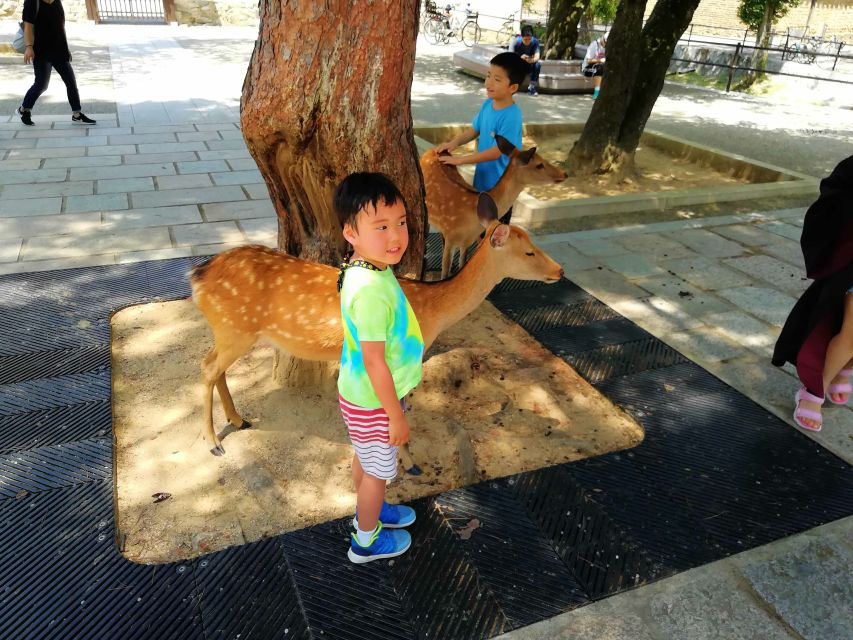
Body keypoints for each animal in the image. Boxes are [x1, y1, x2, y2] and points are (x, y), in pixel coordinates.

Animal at [190, 192, 564, 468]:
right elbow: (397, 407)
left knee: (215, 368)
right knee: (207, 367)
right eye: (529, 251)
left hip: (230, 330)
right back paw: (213, 443)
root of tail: (197, 277)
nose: (559, 271)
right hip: (235, 328)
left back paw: (239, 420)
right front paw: (409, 462)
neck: (433, 311)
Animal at [422, 135, 568, 278]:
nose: (564, 174)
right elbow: (444, 274)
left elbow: (462, 265)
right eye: (539, 165)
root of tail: (431, 150)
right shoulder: (451, 236)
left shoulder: (466, 241)